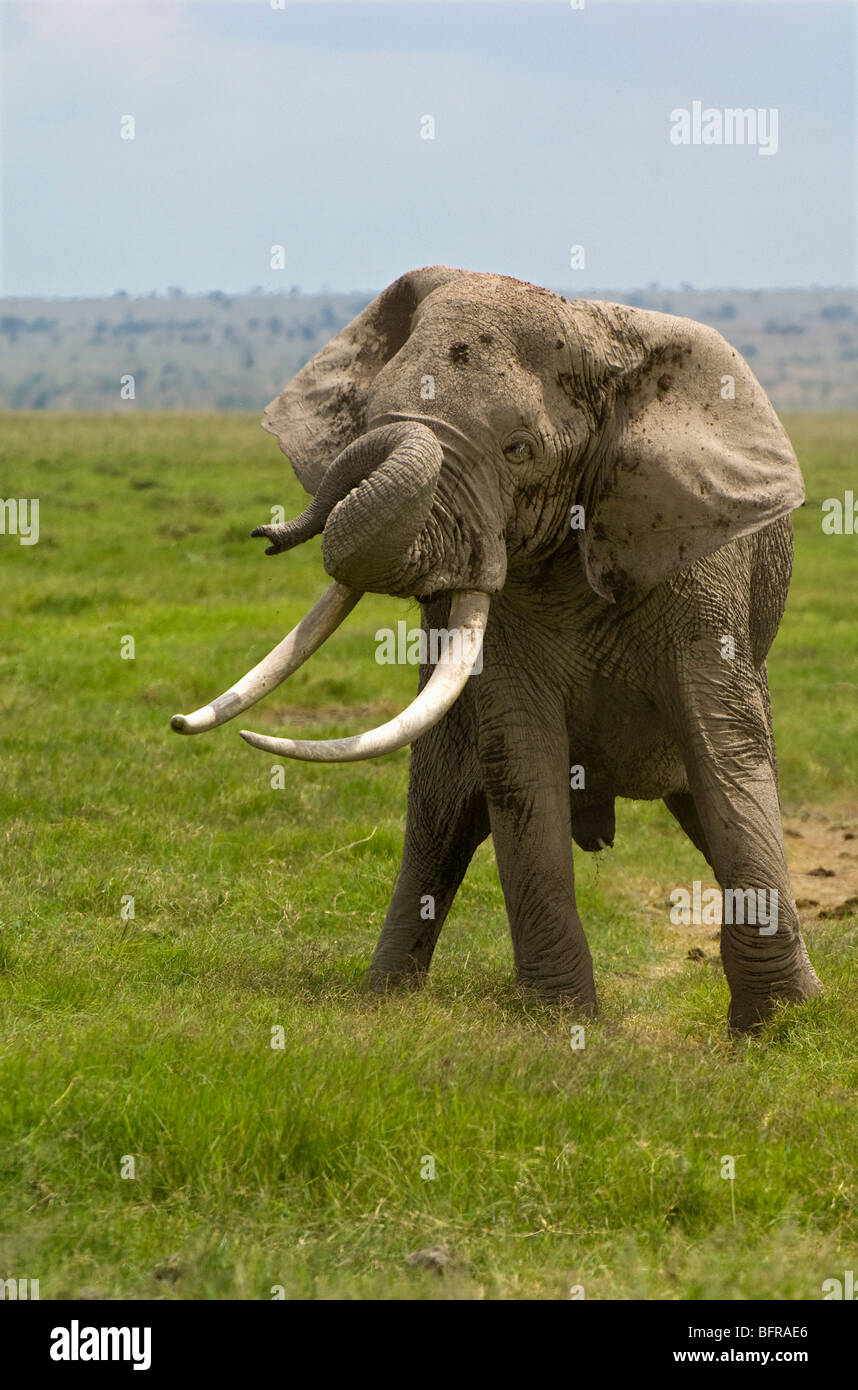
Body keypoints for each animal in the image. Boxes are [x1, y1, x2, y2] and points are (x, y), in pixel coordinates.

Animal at [171, 266, 821, 1032]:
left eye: (519, 450)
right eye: (368, 416)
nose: (265, 534)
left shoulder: (699, 564)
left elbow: (725, 754)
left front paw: (779, 1027)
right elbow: (520, 759)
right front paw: (559, 1021)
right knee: (436, 830)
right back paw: (383, 1000)